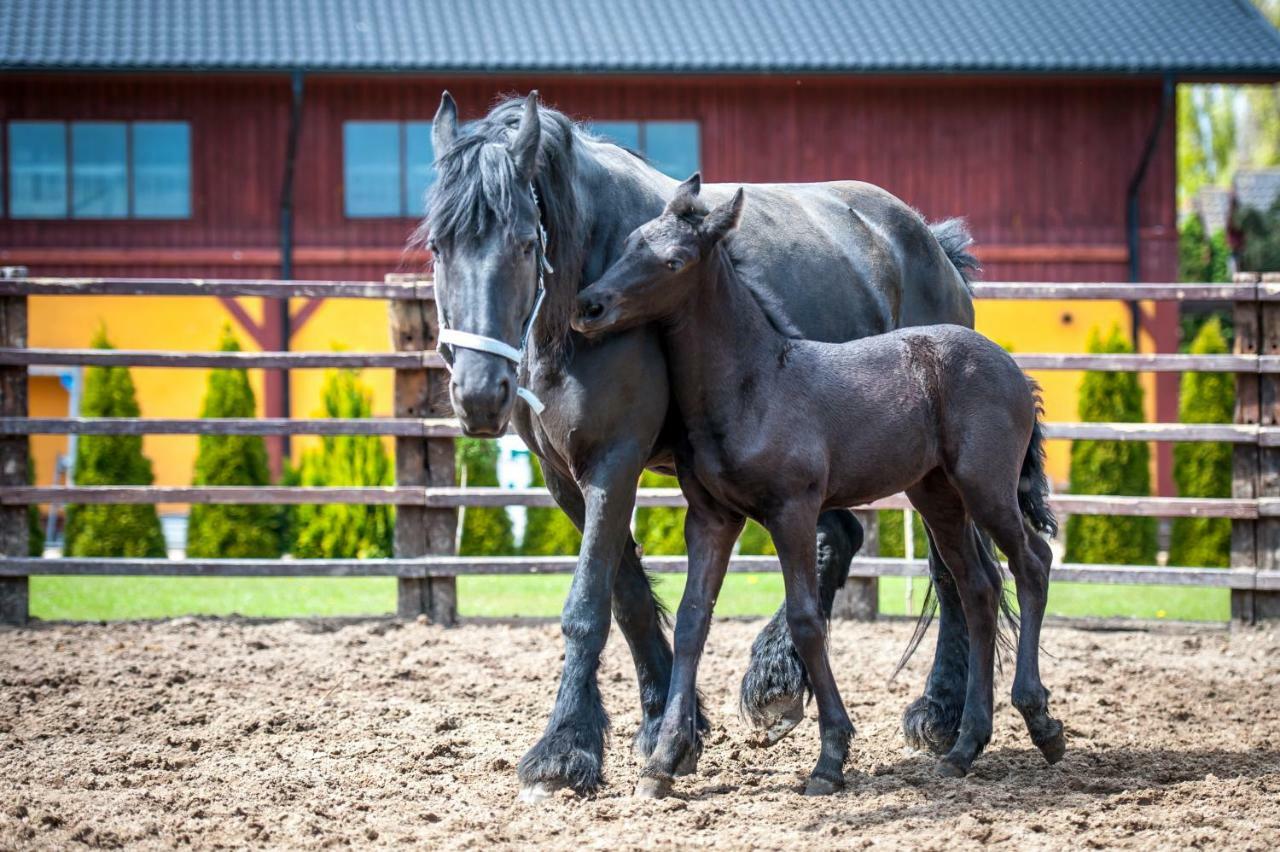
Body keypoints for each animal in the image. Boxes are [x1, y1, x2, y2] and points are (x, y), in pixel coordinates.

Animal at [424, 92, 972, 798]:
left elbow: (586, 606)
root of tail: (933, 244)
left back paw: (941, 710)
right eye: (438, 246)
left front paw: (563, 750)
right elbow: (629, 599)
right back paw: (776, 683)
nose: (479, 393)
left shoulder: (614, 461)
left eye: (524, 243)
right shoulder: (564, 475)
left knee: (952, 571)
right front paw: (664, 725)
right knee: (843, 538)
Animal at [576, 175, 1064, 793]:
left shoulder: (793, 510)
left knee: (1032, 564)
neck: (753, 383)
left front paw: (830, 757)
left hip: (986, 485)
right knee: (979, 586)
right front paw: (662, 764)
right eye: (628, 243)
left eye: (673, 261)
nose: (589, 305)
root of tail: (1013, 368)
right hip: (936, 494)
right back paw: (964, 746)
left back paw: (1040, 721)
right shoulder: (711, 517)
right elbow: (691, 622)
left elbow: (807, 620)